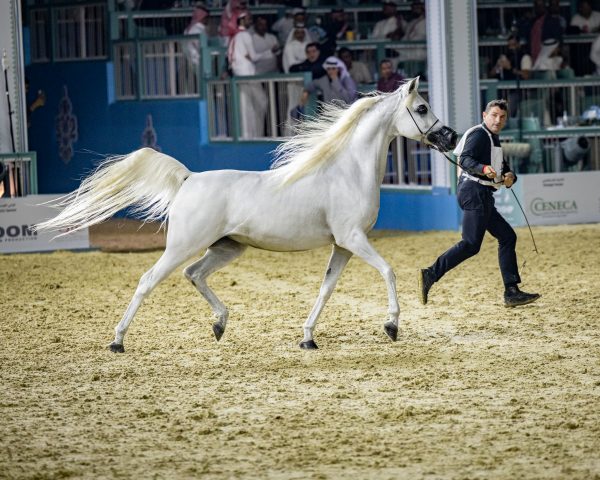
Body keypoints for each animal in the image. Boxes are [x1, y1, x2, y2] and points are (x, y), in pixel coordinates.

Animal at [36, 77, 454, 350]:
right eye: (421, 108)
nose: (449, 137)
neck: (347, 171)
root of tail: (188, 179)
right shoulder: (354, 238)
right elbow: (388, 270)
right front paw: (391, 326)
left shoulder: (343, 246)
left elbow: (326, 289)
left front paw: (308, 338)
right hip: (184, 245)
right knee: (149, 280)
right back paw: (118, 341)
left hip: (226, 247)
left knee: (194, 274)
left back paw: (220, 325)